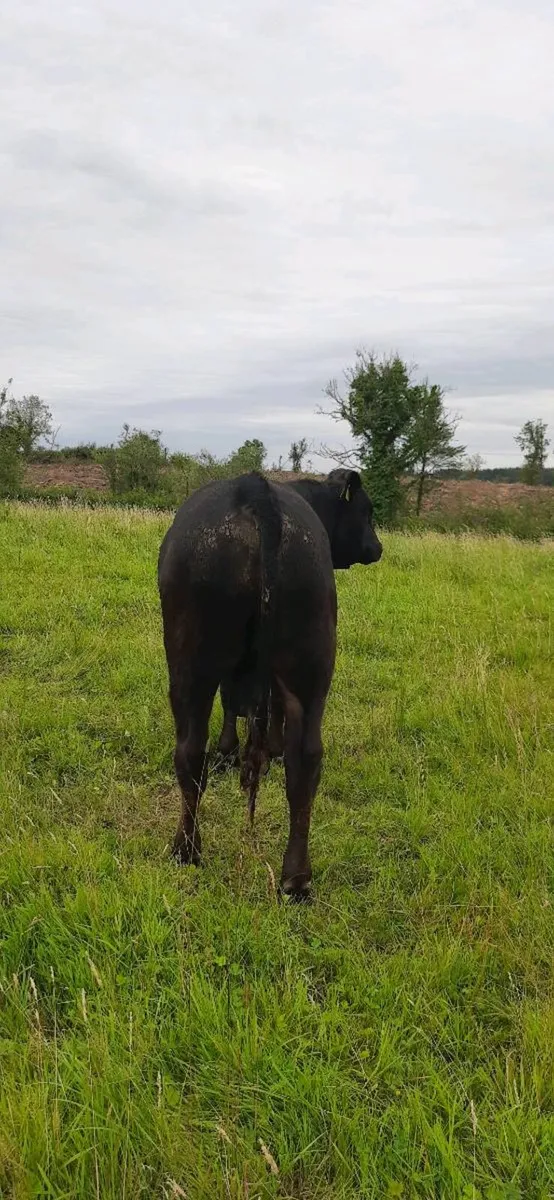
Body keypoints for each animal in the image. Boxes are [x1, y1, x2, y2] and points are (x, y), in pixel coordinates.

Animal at [158, 468, 382, 899]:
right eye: (367, 510)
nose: (377, 547)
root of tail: (254, 490)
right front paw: (250, 751)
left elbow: (233, 705)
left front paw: (229, 751)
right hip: (310, 661)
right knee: (305, 761)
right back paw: (296, 879)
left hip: (190, 664)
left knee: (190, 751)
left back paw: (185, 850)